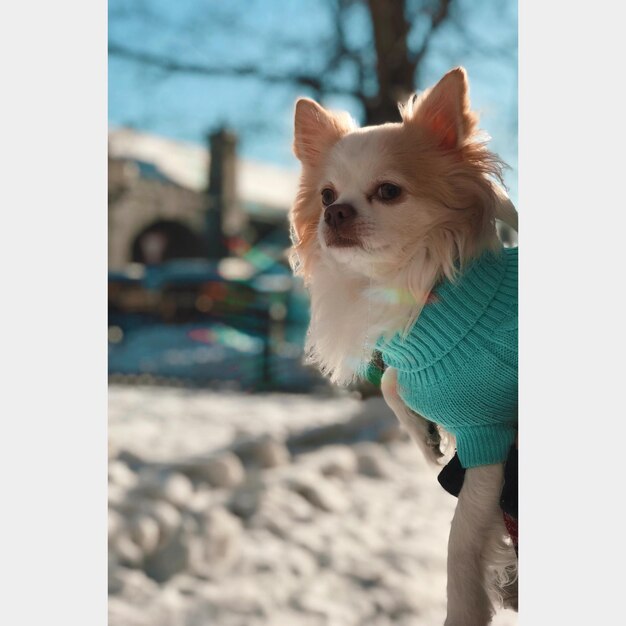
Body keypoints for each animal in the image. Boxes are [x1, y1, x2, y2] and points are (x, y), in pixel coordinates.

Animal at [288, 66, 516, 620]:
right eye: (325, 196)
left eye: (389, 191)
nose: (335, 213)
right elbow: (393, 379)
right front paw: (423, 436)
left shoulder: (488, 439)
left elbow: (460, 544)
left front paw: (463, 612)